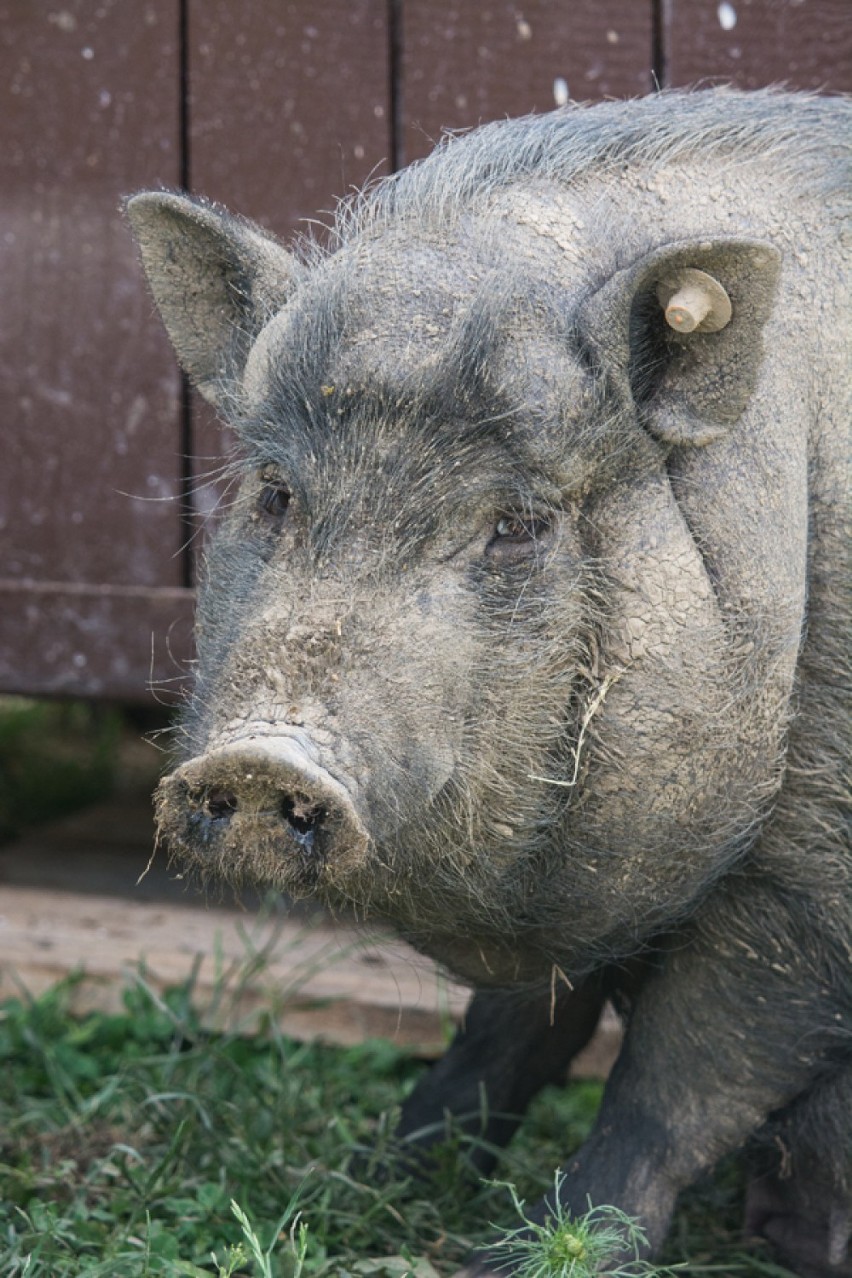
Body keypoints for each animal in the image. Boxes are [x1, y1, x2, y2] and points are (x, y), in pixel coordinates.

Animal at [128, 92, 852, 1278]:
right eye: (276, 493)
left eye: (516, 524)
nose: (262, 758)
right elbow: (509, 1025)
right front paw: (377, 1177)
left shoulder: (816, 880)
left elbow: (682, 1076)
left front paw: (527, 1255)